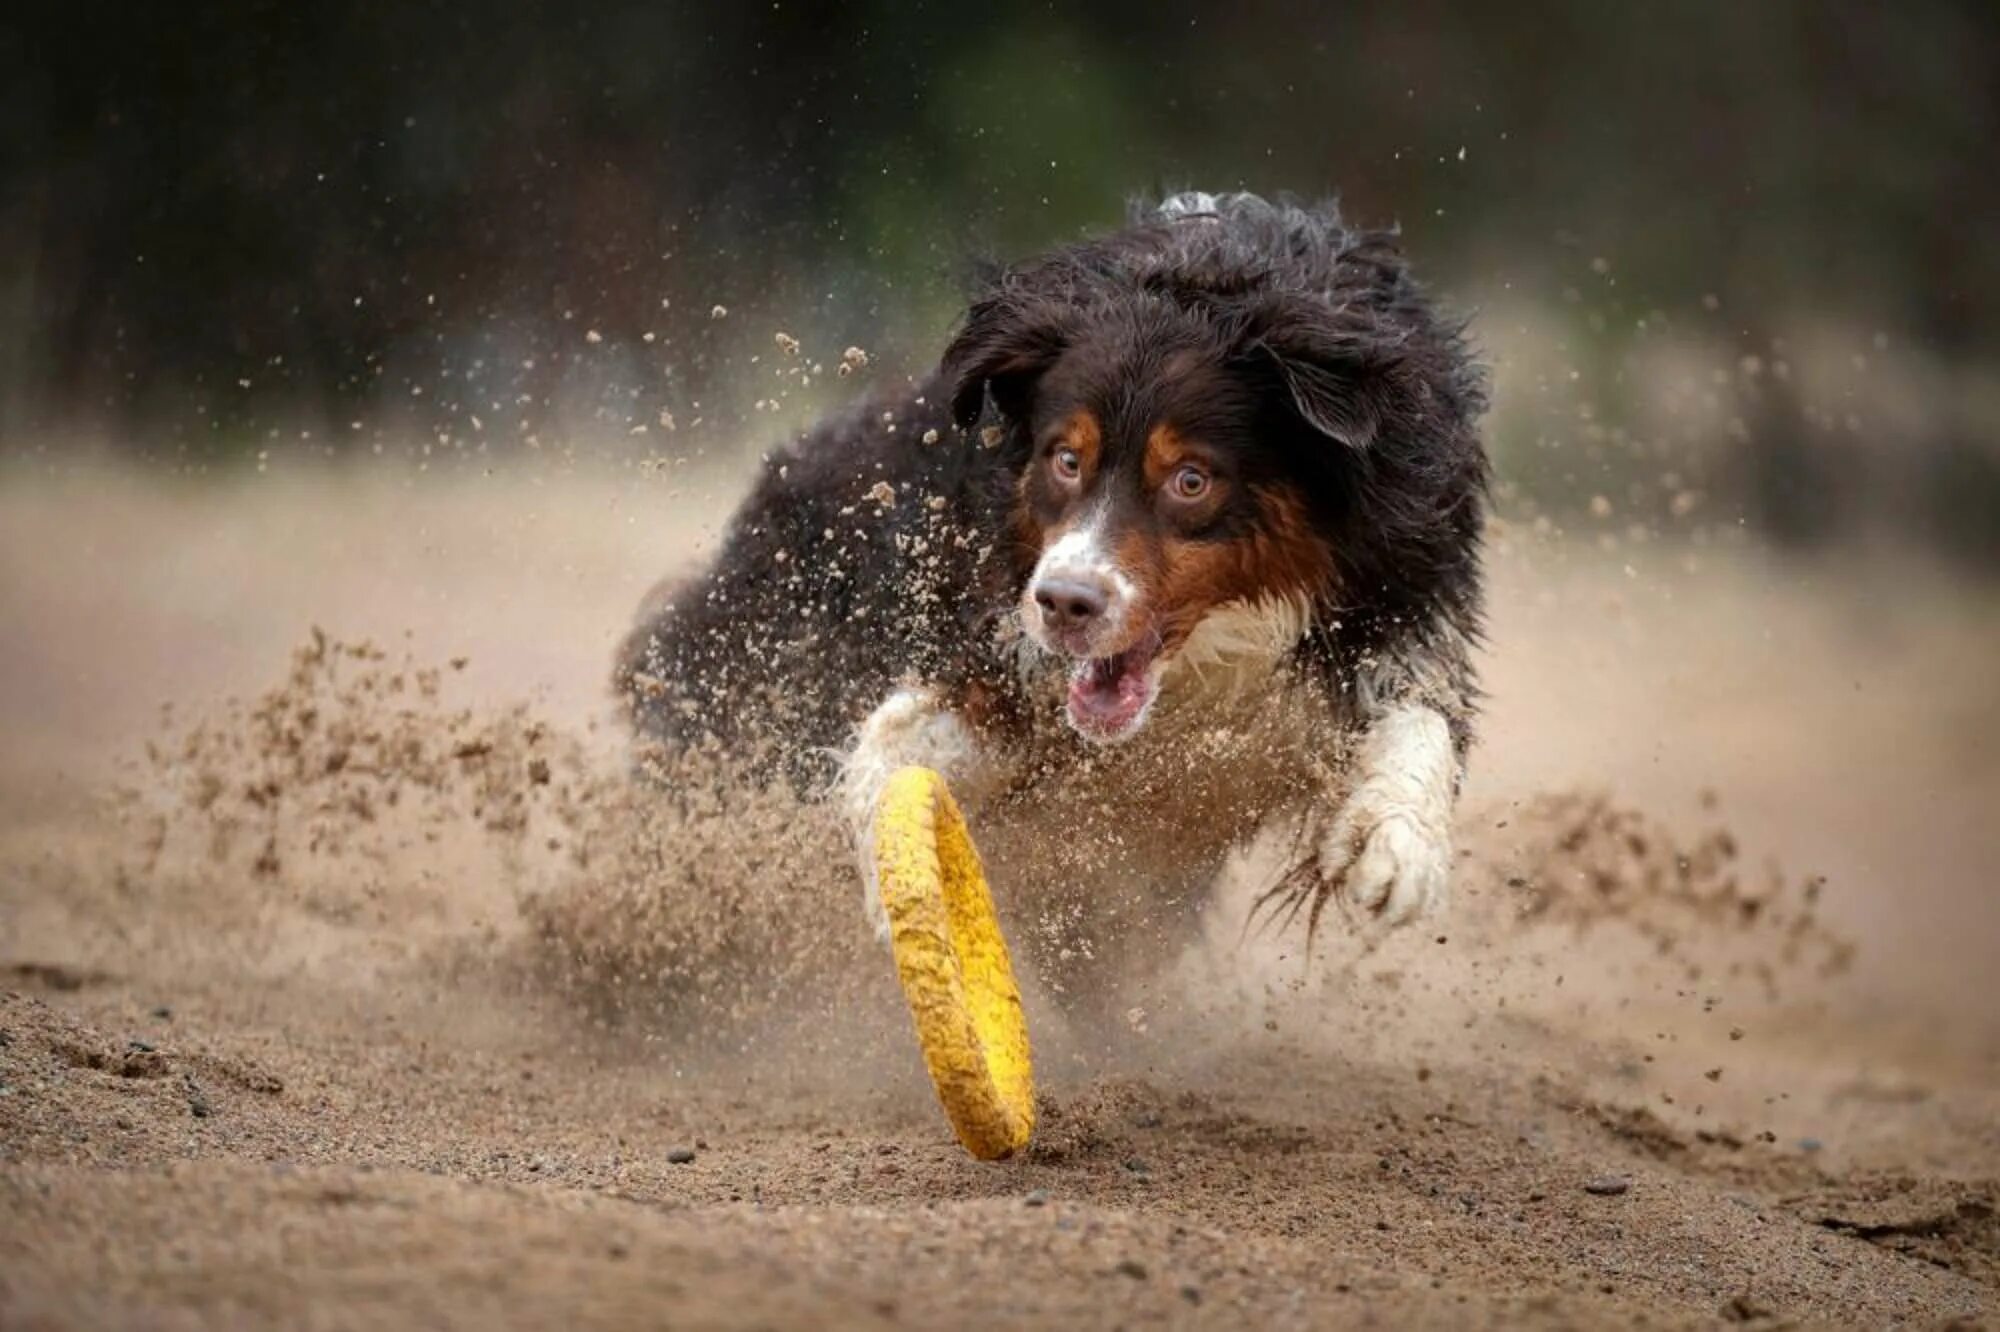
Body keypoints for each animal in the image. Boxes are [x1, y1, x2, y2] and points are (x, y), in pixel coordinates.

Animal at [616, 192, 1496, 992]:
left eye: (1191, 479)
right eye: (1065, 459)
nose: (1066, 604)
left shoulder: (1397, 598)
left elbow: (1417, 715)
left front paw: (1396, 848)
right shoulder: (1000, 650)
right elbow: (899, 742)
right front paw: (900, 879)